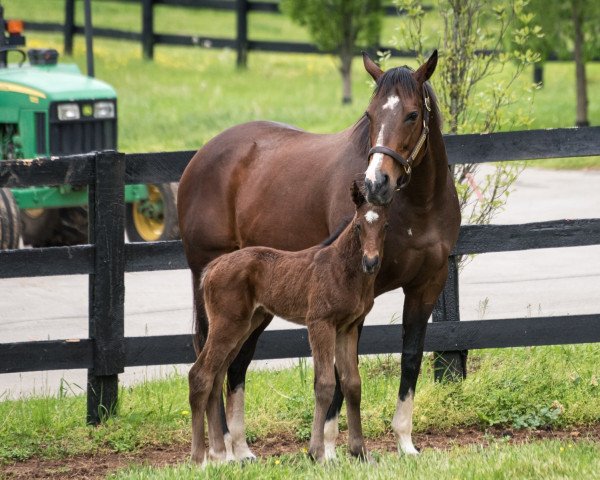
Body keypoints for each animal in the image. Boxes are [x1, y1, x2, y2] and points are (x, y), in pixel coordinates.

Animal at [190, 182, 392, 464]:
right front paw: (317, 453)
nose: (371, 262)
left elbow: (352, 383)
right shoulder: (320, 323)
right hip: (227, 323)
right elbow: (325, 383)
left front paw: (360, 452)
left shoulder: (348, 328)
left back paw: (220, 454)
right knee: (200, 374)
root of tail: (213, 266)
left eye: (385, 226)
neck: (342, 268)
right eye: (359, 226)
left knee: (216, 376)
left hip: (245, 324)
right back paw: (199, 458)